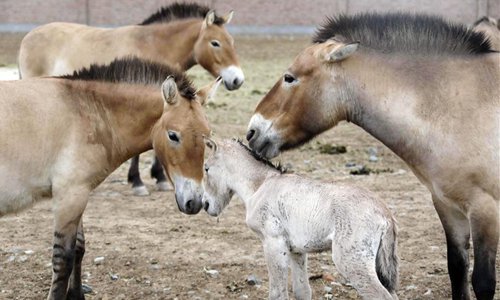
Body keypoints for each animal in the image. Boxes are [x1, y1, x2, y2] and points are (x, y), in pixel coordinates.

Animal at [0, 56, 219, 300]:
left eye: (208, 136)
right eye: (173, 135)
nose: (195, 202)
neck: (86, 111)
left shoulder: (78, 195)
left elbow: (79, 248)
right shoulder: (70, 196)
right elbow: (63, 259)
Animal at [18, 2, 245, 197]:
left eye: (233, 42)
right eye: (215, 43)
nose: (237, 80)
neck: (153, 45)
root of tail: (28, 37)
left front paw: (159, 178)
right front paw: (137, 182)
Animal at [201, 139, 400, 300]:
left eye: (206, 168)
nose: (205, 204)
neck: (261, 185)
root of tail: (385, 213)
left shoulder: (273, 243)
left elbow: (277, 293)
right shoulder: (296, 251)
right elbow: (302, 291)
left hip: (352, 262)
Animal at [247, 12, 500, 300]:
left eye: (290, 77)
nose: (252, 131)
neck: (459, 107)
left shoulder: (485, 209)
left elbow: (483, 282)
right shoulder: (448, 206)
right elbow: (457, 270)